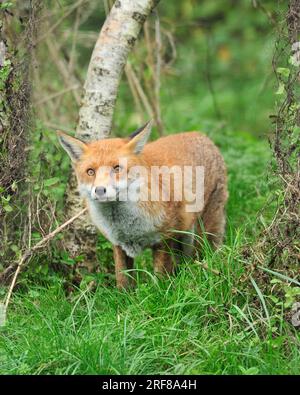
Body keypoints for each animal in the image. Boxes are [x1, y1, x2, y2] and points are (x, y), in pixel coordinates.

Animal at [58, 122, 227, 290]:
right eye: (90, 172)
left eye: (117, 168)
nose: (99, 190)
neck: (128, 227)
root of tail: (200, 135)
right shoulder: (118, 244)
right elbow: (122, 279)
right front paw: (124, 295)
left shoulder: (164, 238)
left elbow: (160, 279)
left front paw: (159, 292)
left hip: (204, 232)